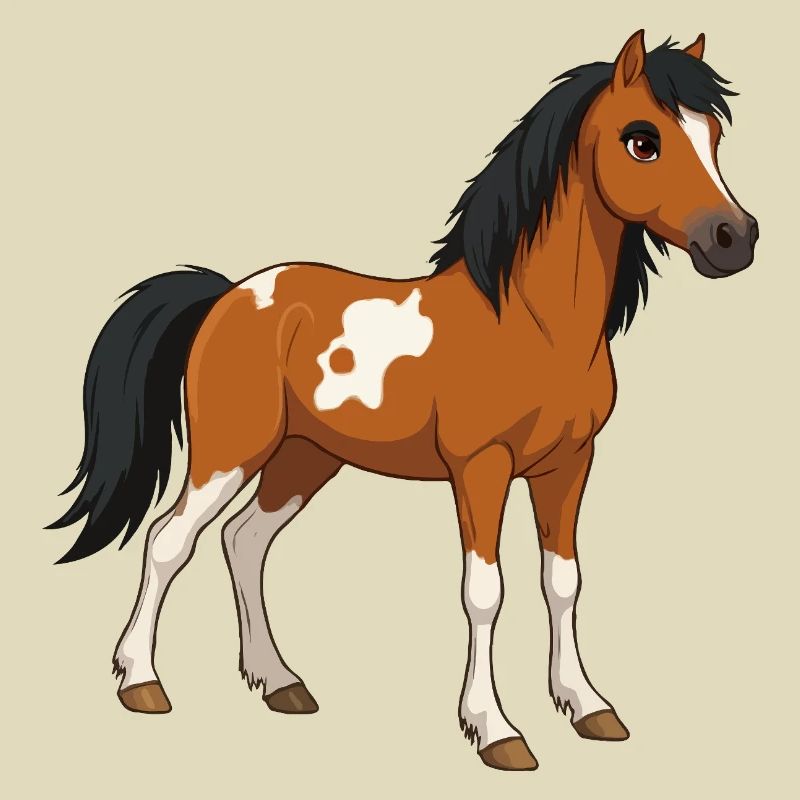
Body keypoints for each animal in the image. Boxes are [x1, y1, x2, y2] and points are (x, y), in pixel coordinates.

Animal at [48, 30, 758, 771]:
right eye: (642, 140)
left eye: (713, 135)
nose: (735, 239)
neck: (531, 324)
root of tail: (229, 294)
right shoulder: (481, 468)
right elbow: (485, 592)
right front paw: (495, 731)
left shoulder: (569, 465)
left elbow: (563, 582)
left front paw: (589, 707)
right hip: (231, 452)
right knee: (169, 541)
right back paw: (141, 682)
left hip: (305, 458)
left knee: (244, 542)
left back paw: (280, 683)